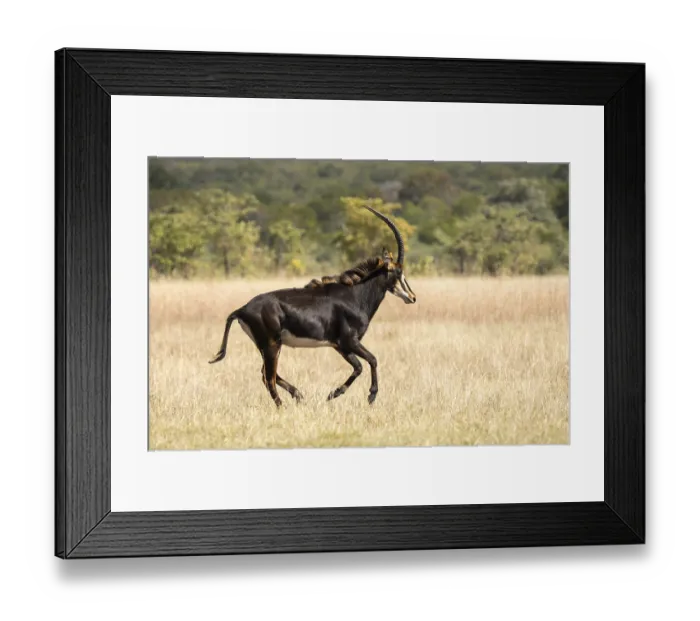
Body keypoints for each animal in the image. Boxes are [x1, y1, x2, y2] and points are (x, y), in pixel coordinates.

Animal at [209, 205, 417, 406]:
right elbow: (372, 360)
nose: (412, 297)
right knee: (269, 378)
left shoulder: (339, 345)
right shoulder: (349, 341)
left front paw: (334, 393)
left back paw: (298, 395)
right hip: (271, 345)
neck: (354, 295)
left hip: (268, 346)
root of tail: (242, 309)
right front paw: (370, 396)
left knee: (267, 374)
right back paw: (283, 406)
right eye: (398, 272)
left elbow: (358, 367)